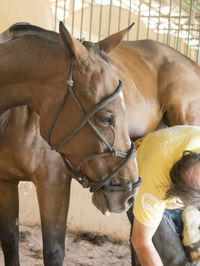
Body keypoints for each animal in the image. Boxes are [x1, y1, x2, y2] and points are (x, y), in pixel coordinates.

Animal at [0, 22, 141, 266]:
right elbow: (10, 242)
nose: (128, 193)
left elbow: (53, 251)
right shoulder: (5, 182)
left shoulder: (53, 183)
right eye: (106, 118)